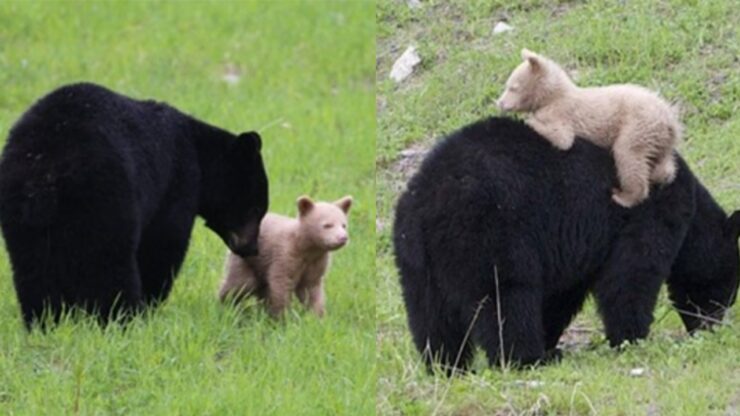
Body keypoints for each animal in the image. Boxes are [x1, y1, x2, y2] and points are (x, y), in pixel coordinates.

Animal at [0, 82, 268, 328]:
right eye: (256, 209)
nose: (252, 248)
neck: (199, 152)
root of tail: (45, 172)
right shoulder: (177, 181)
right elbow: (164, 242)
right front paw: (150, 303)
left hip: (20, 211)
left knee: (33, 268)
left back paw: (43, 320)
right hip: (107, 199)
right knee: (110, 263)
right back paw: (121, 317)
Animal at [394, 116, 740, 370]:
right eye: (729, 291)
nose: (710, 327)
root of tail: (429, 202)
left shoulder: (576, 249)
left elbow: (562, 295)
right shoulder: (647, 214)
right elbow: (630, 275)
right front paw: (632, 339)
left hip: (415, 260)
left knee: (430, 314)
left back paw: (445, 366)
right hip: (489, 235)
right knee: (506, 298)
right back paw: (527, 359)